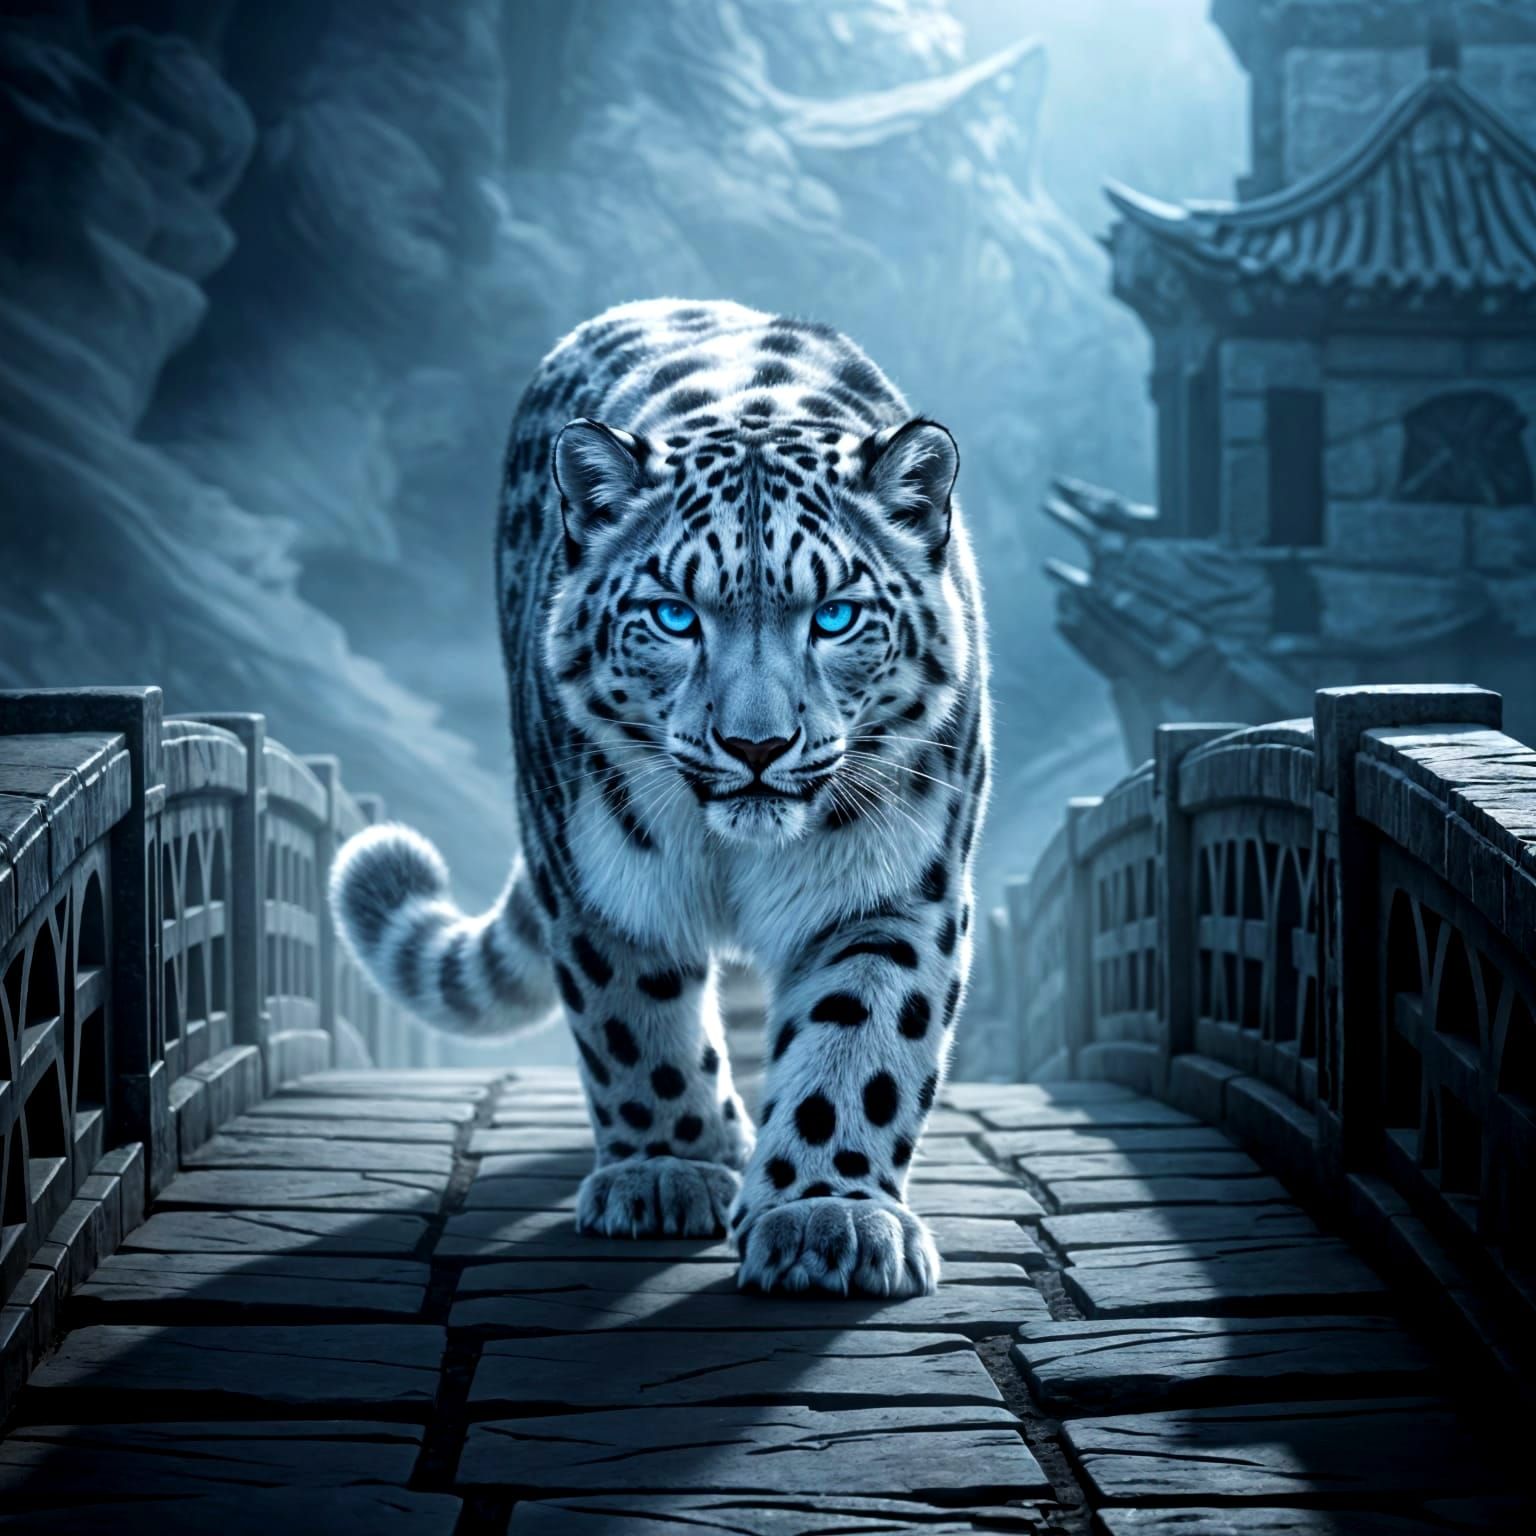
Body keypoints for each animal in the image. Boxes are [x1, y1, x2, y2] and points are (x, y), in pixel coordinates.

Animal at [331, 298, 990, 1297]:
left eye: (835, 615)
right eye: (675, 616)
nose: (756, 745)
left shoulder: (894, 886)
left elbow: (860, 1036)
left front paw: (825, 1216)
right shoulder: (600, 880)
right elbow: (634, 1021)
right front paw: (667, 1170)